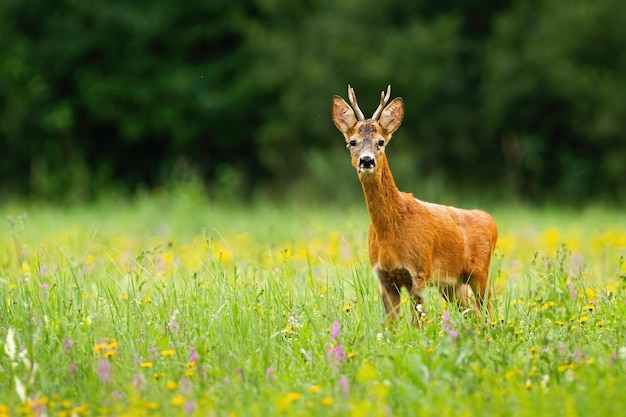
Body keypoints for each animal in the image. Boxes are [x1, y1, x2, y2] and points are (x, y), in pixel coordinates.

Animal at [332, 83, 498, 320]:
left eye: (381, 142)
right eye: (351, 142)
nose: (366, 160)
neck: (390, 234)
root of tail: (490, 220)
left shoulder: (418, 272)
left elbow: (418, 322)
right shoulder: (383, 277)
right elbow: (390, 324)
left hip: (481, 272)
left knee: (488, 312)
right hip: (452, 284)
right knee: (472, 312)